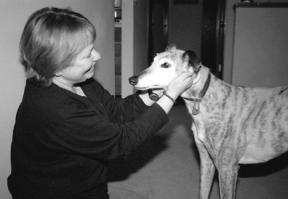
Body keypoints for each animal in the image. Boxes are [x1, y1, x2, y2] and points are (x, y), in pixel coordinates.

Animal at [129, 45, 288, 198]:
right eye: (152, 61)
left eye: (166, 65)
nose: (132, 79)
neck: (204, 98)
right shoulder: (207, 160)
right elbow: (203, 191)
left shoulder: (227, 168)